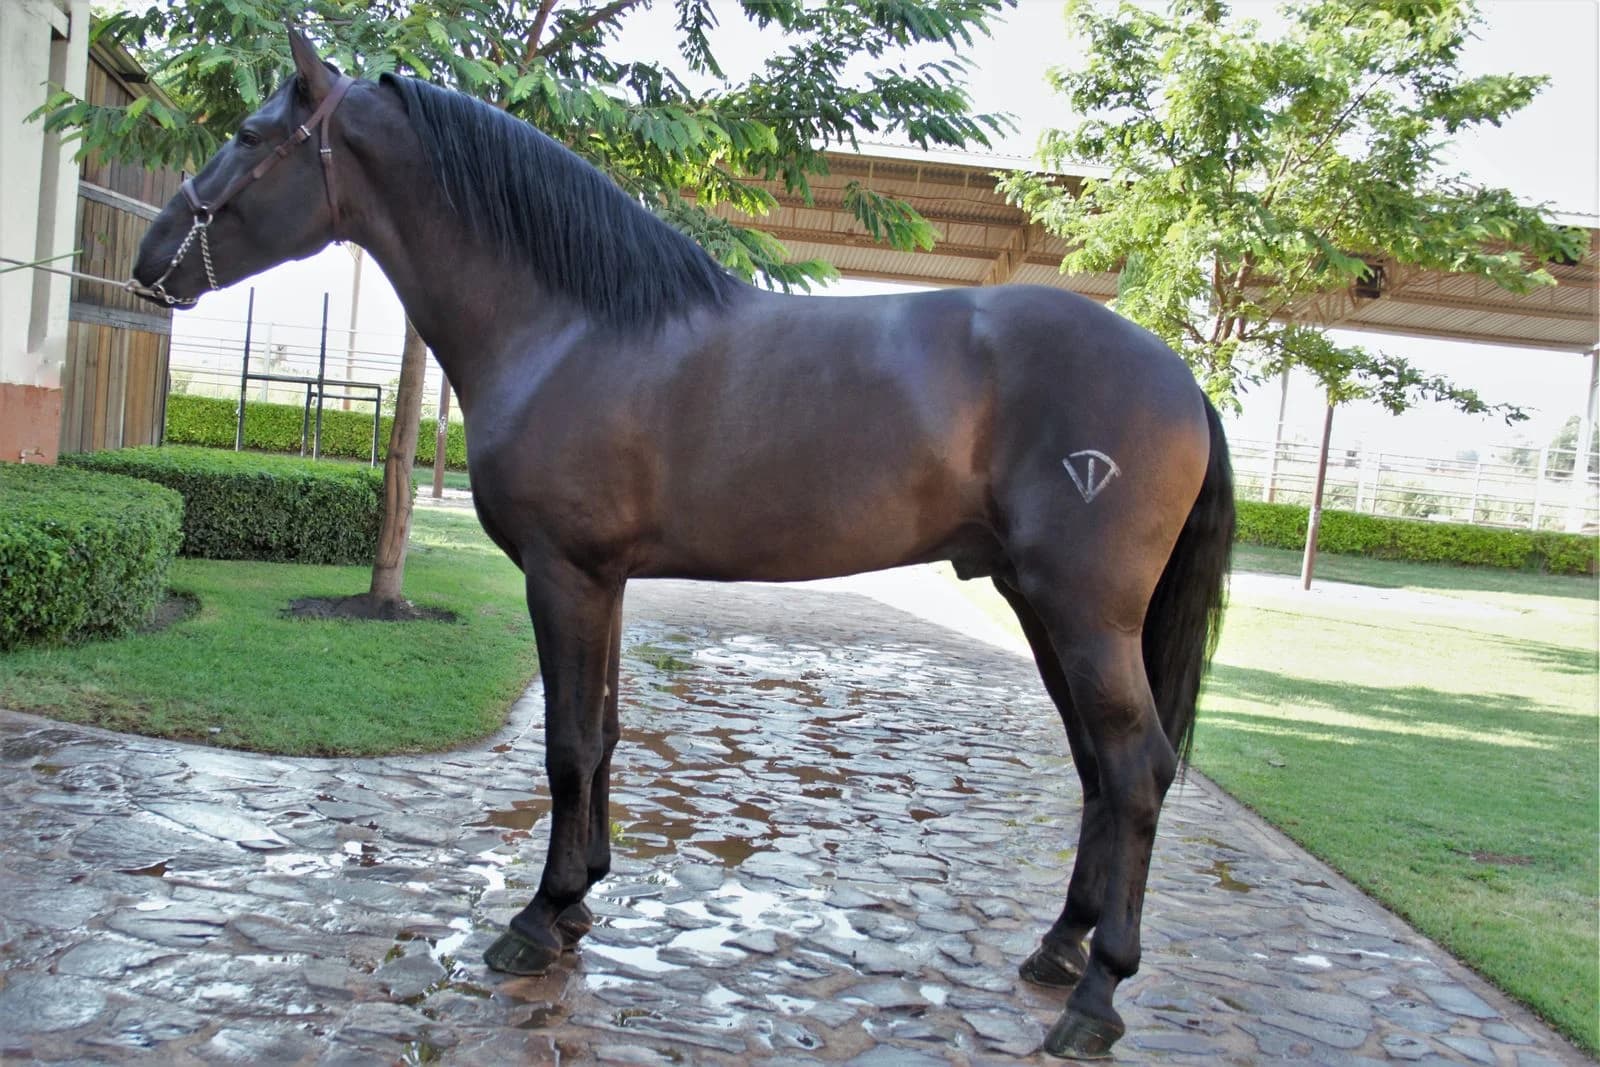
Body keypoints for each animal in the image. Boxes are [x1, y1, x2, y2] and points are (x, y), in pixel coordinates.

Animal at [132, 30, 1234, 1060]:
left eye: (249, 136)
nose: (150, 259)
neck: (570, 326)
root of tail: (1180, 378)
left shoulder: (563, 575)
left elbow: (568, 744)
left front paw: (537, 918)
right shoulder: (606, 580)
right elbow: (606, 732)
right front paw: (582, 897)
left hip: (1082, 610)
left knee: (1134, 767)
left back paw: (1097, 995)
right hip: (1038, 603)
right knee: (1097, 768)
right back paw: (1059, 947)